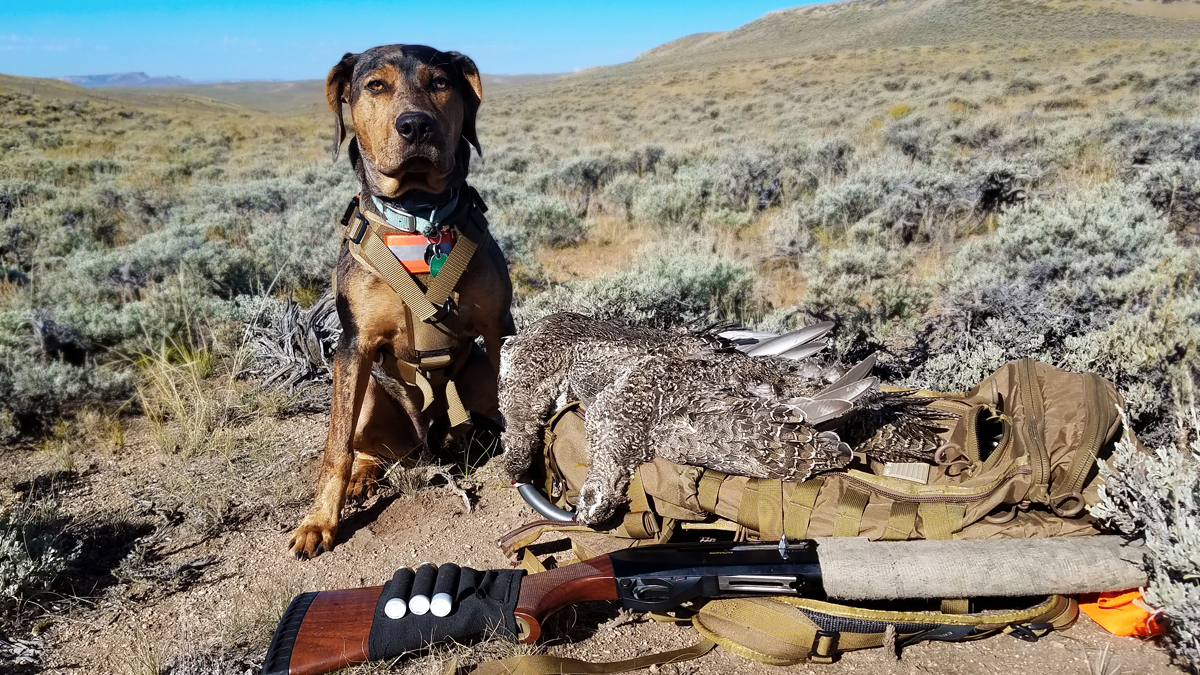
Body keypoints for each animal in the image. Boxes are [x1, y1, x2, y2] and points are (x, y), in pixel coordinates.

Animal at [292, 43, 518, 557]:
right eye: (376, 85)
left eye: (441, 82)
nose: (416, 126)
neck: (419, 217)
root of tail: (424, 442)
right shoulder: (353, 343)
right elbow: (334, 448)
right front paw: (319, 521)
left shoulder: (499, 328)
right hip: (369, 396)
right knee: (363, 447)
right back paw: (363, 476)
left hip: (474, 372)